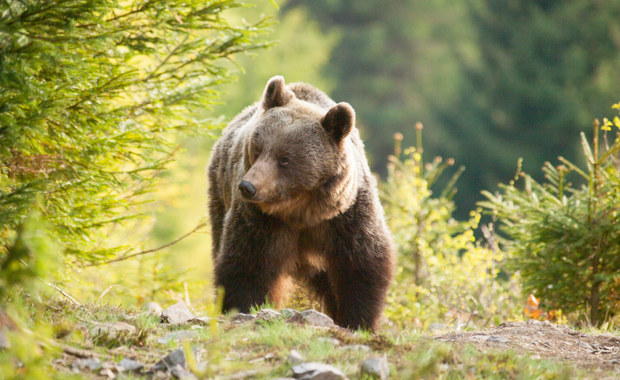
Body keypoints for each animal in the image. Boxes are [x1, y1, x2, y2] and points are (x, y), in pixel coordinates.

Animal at [207, 75, 392, 332]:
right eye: (258, 147)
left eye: (285, 159)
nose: (248, 187)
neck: (301, 211)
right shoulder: (260, 221)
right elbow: (247, 264)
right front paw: (242, 307)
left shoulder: (346, 217)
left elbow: (361, 265)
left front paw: (357, 320)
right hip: (219, 193)